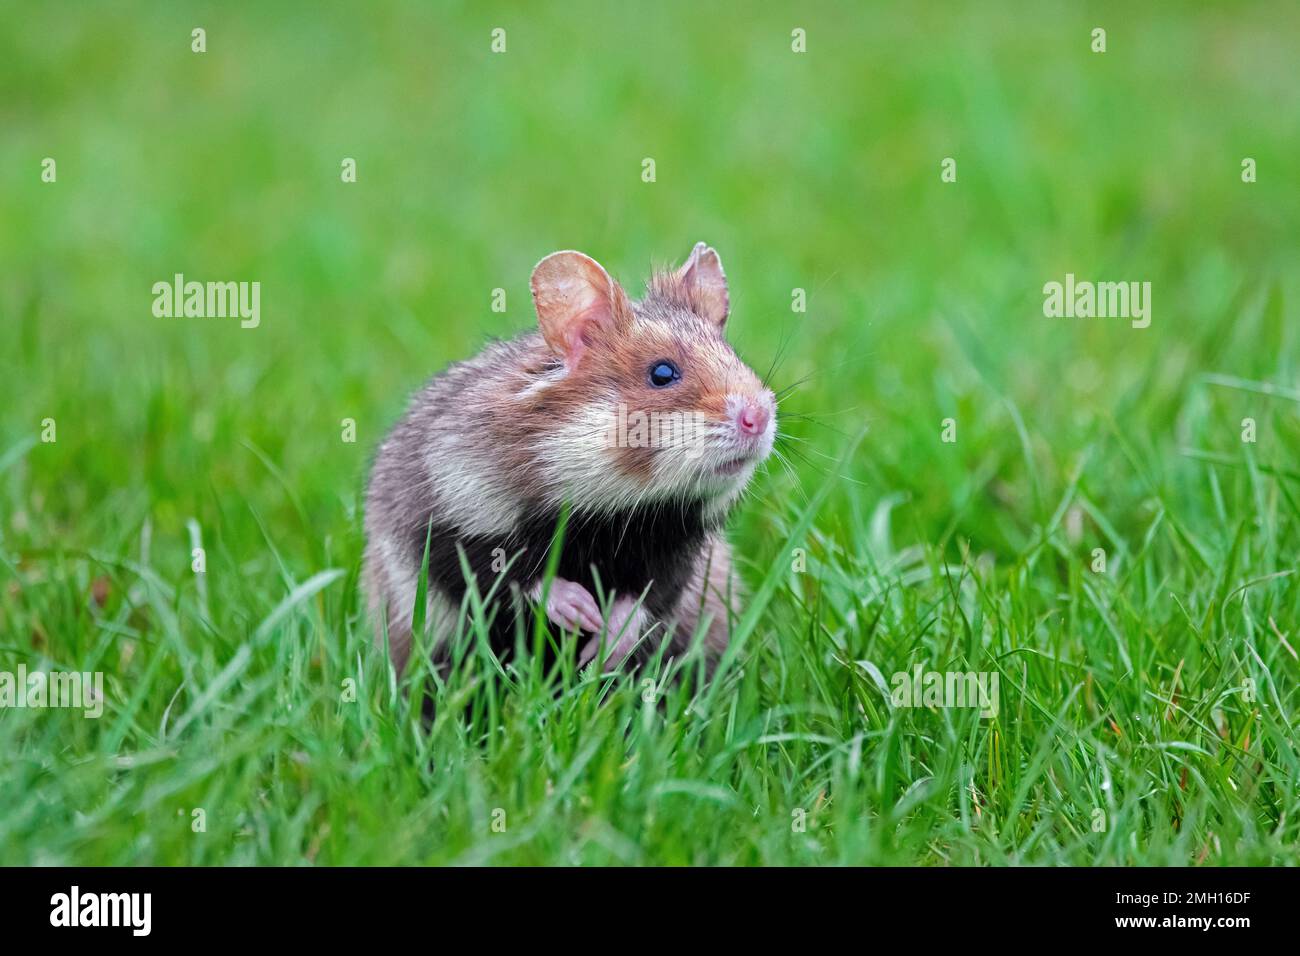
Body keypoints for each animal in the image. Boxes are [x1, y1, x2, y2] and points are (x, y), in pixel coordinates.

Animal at [362, 242, 777, 675]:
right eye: (662, 373)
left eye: (734, 356)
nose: (760, 418)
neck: (614, 505)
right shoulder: (443, 520)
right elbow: (505, 572)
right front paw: (582, 612)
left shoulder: (678, 551)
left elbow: (649, 597)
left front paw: (604, 645)